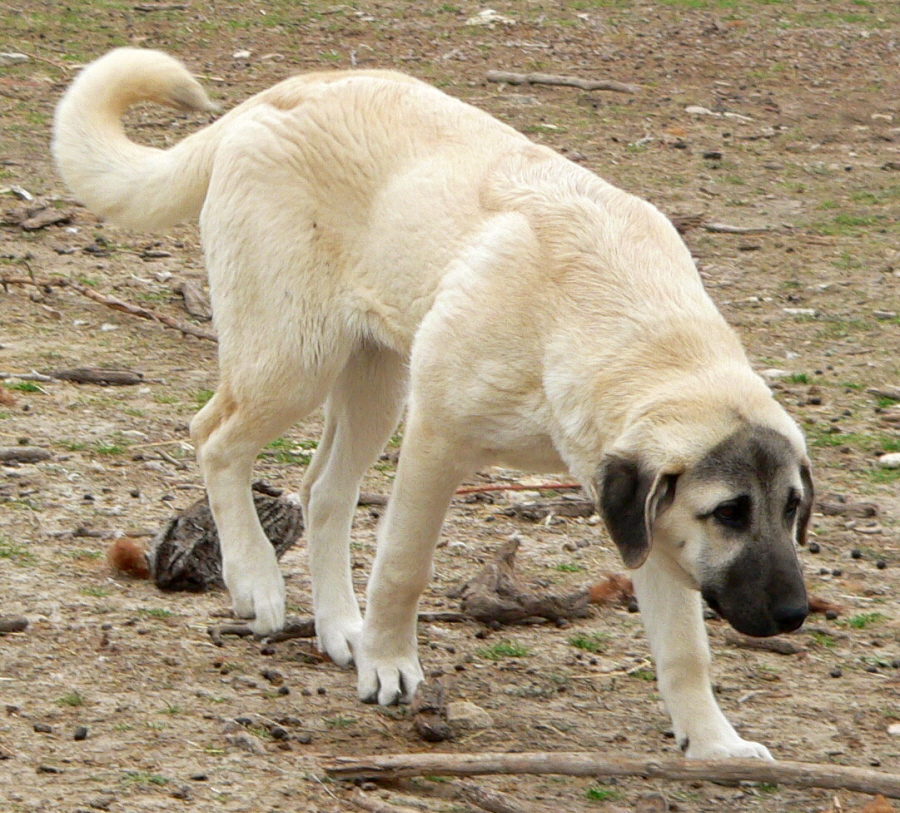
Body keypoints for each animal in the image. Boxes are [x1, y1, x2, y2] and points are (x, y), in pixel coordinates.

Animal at [52, 49, 812, 760]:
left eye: (792, 509)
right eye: (729, 512)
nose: (795, 613)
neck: (627, 328)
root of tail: (277, 94)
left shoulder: (642, 515)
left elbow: (685, 649)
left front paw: (714, 744)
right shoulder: (436, 441)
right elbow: (403, 568)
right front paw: (389, 663)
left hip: (374, 384)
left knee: (321, 491)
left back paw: (340, 627)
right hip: (295, 362)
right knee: (215, 437)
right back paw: (257, 581)